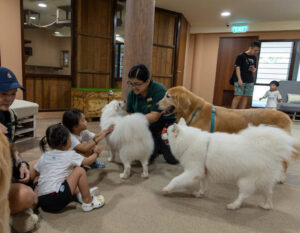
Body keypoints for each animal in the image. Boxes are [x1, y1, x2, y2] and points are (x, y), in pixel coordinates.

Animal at [162, 118, 298, 209]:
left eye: (167, 132)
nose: (160, 134)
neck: (189, 142)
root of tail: (270, 150)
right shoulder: (203, 172)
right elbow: (203, 185)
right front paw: (200, 193)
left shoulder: (193, 171)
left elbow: (175, 180)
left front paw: (167, 189)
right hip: (264, 181)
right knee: (269, 193)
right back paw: (266, 206)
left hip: (246, 180)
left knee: (245, 194)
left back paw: (234, 205)